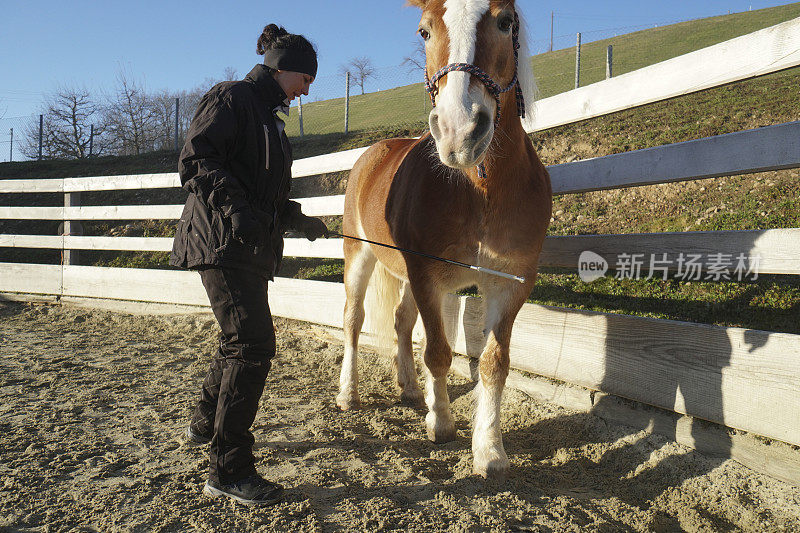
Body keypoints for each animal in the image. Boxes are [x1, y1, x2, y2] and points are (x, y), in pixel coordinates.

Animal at [336, 0, 552, 478]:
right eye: (424, 31)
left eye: (505, 21)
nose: (459, 132)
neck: (478, 189)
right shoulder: (426, 275)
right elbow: (437, 351)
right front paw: (442, 424)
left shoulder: (510, 283)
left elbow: (493, 363)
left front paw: (489, 449)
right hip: (359, 257)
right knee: (354, 320)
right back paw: (348, 394)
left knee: (400, 322)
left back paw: (410, 389)